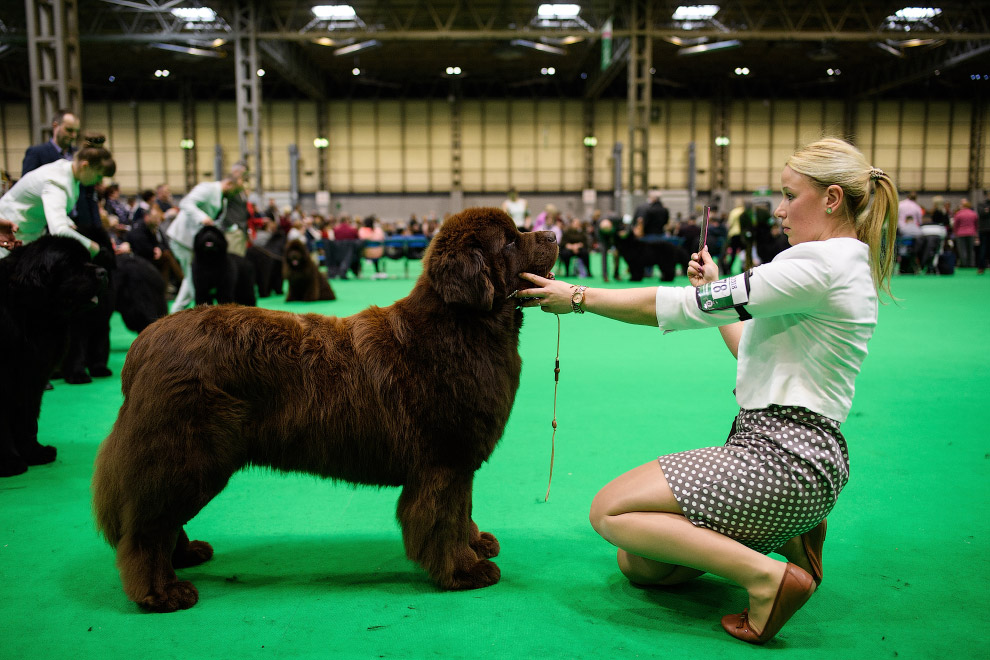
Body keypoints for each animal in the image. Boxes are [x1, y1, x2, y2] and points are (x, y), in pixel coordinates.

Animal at [0, 236, 107, 474]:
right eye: (70, 264)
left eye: (87, 258)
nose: (103, 271)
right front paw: (10, 462)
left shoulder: (34, 374)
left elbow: (28, 417)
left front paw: (35, 453)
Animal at [92, 208, 560, 612]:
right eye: (509, 241)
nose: (554, 235)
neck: (464, 327)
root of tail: (146, 342)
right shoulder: (443, 463)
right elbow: (444, 519)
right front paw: (464, 570)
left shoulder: (459, 464)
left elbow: (463, 511)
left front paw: (476, 543)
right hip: (187, 457)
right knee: (146, 530)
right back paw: (162, 592)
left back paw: (186, 554)